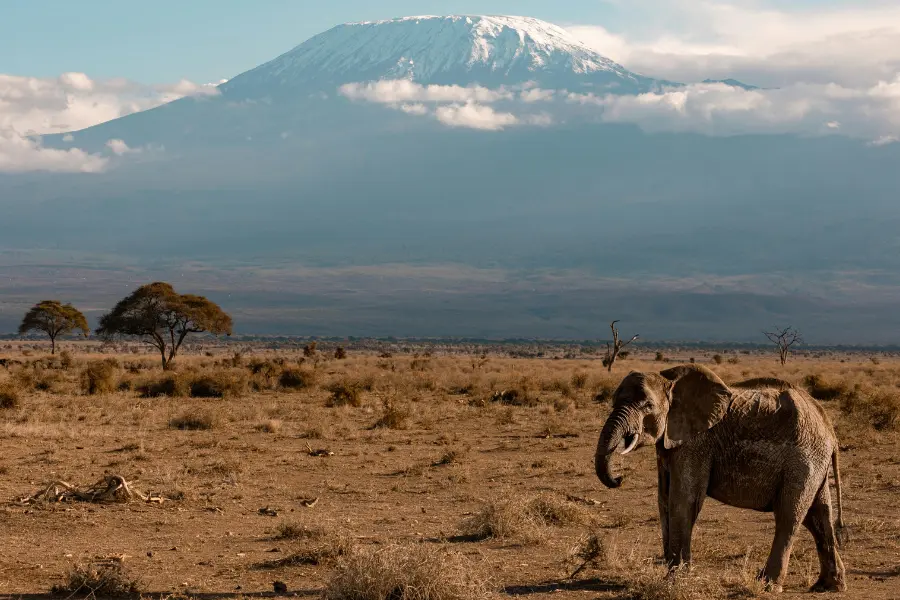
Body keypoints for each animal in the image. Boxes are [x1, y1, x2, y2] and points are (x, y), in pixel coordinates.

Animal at [594, 364, 846, 593]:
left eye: (647, 406)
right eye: (614, 401)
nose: (619, 478)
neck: (669, 380)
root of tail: (829, 429)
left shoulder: (696, 442)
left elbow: (683, 499)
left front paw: (675, 580)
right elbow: (663, 499)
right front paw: (674, 574)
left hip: (803, 459)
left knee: (789, 515)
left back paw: (768, 585)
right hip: (814, 461)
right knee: (818, 515)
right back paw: (828, 586)